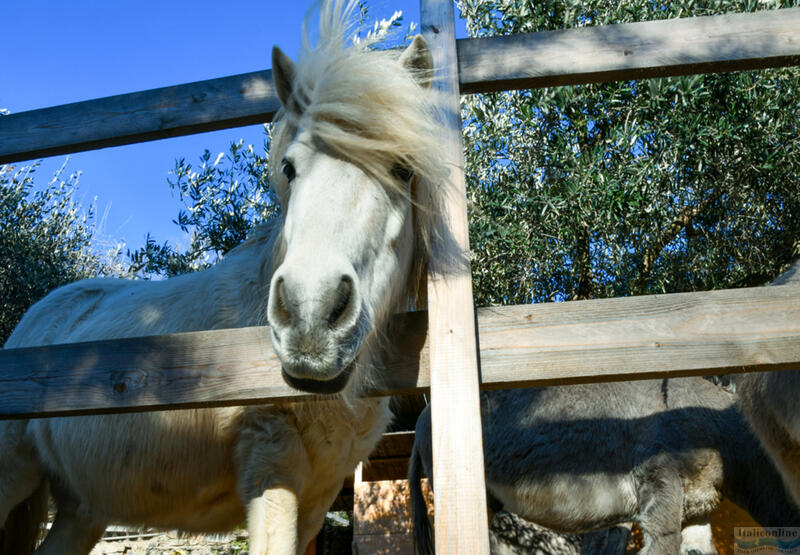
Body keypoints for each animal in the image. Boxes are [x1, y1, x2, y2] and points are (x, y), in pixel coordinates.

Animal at [0, 2, 446, 552]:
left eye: (403, 168)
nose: (311, 314)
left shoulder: (317, 500)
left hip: (83, 511)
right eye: (289, 168)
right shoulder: (272, 462)